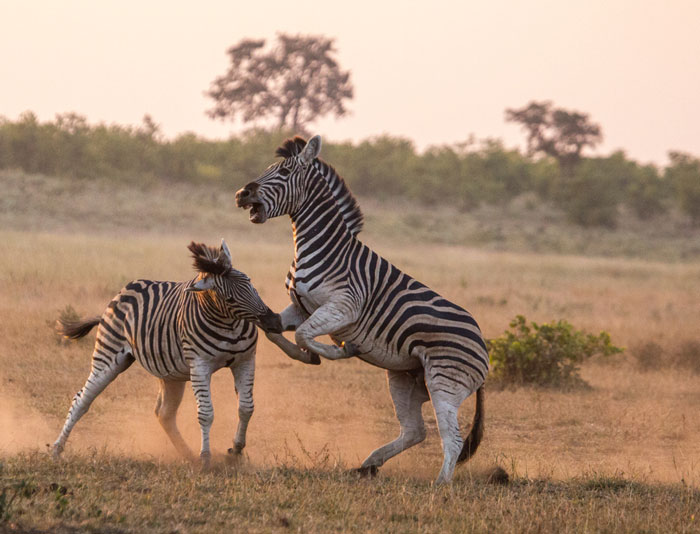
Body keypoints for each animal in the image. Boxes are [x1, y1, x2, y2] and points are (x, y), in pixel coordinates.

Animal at [50, 240, 312, 468]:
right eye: (229, 299)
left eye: (251, 283)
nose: (273, 321)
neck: (229, 324)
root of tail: (124, 290)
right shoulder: (200, 365)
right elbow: (206, 413)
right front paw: (206, 458)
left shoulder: (245, 361)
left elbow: (246, 407)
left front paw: (235, 451)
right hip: (108, 356)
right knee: (82, 400)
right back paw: (56, 449)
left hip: (171, 373)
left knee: (164, 414)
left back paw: (188, 455)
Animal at [238, 135, 490, 486]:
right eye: (267, 169)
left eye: (285, 172)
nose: (241, 194)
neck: (325, 249)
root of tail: (483, 343)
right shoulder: (300, 308)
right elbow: (273, 329)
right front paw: (307, 355)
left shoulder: (343, 307)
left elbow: (303, 335)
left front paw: (339, 350)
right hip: (406, 378)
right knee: (415, 431)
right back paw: (369, 464)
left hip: (445, 381)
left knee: (451, 437)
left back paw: (440, 483)